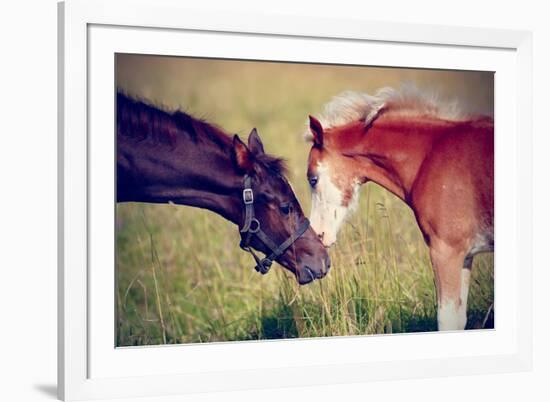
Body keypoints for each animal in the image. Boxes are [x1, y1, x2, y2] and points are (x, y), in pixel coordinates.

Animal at [306, 87, 496, 330]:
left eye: (312, 179)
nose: (318, 234)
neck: (429, 156)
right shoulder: (466, 255)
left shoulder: (446, 250)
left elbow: (447, 319)